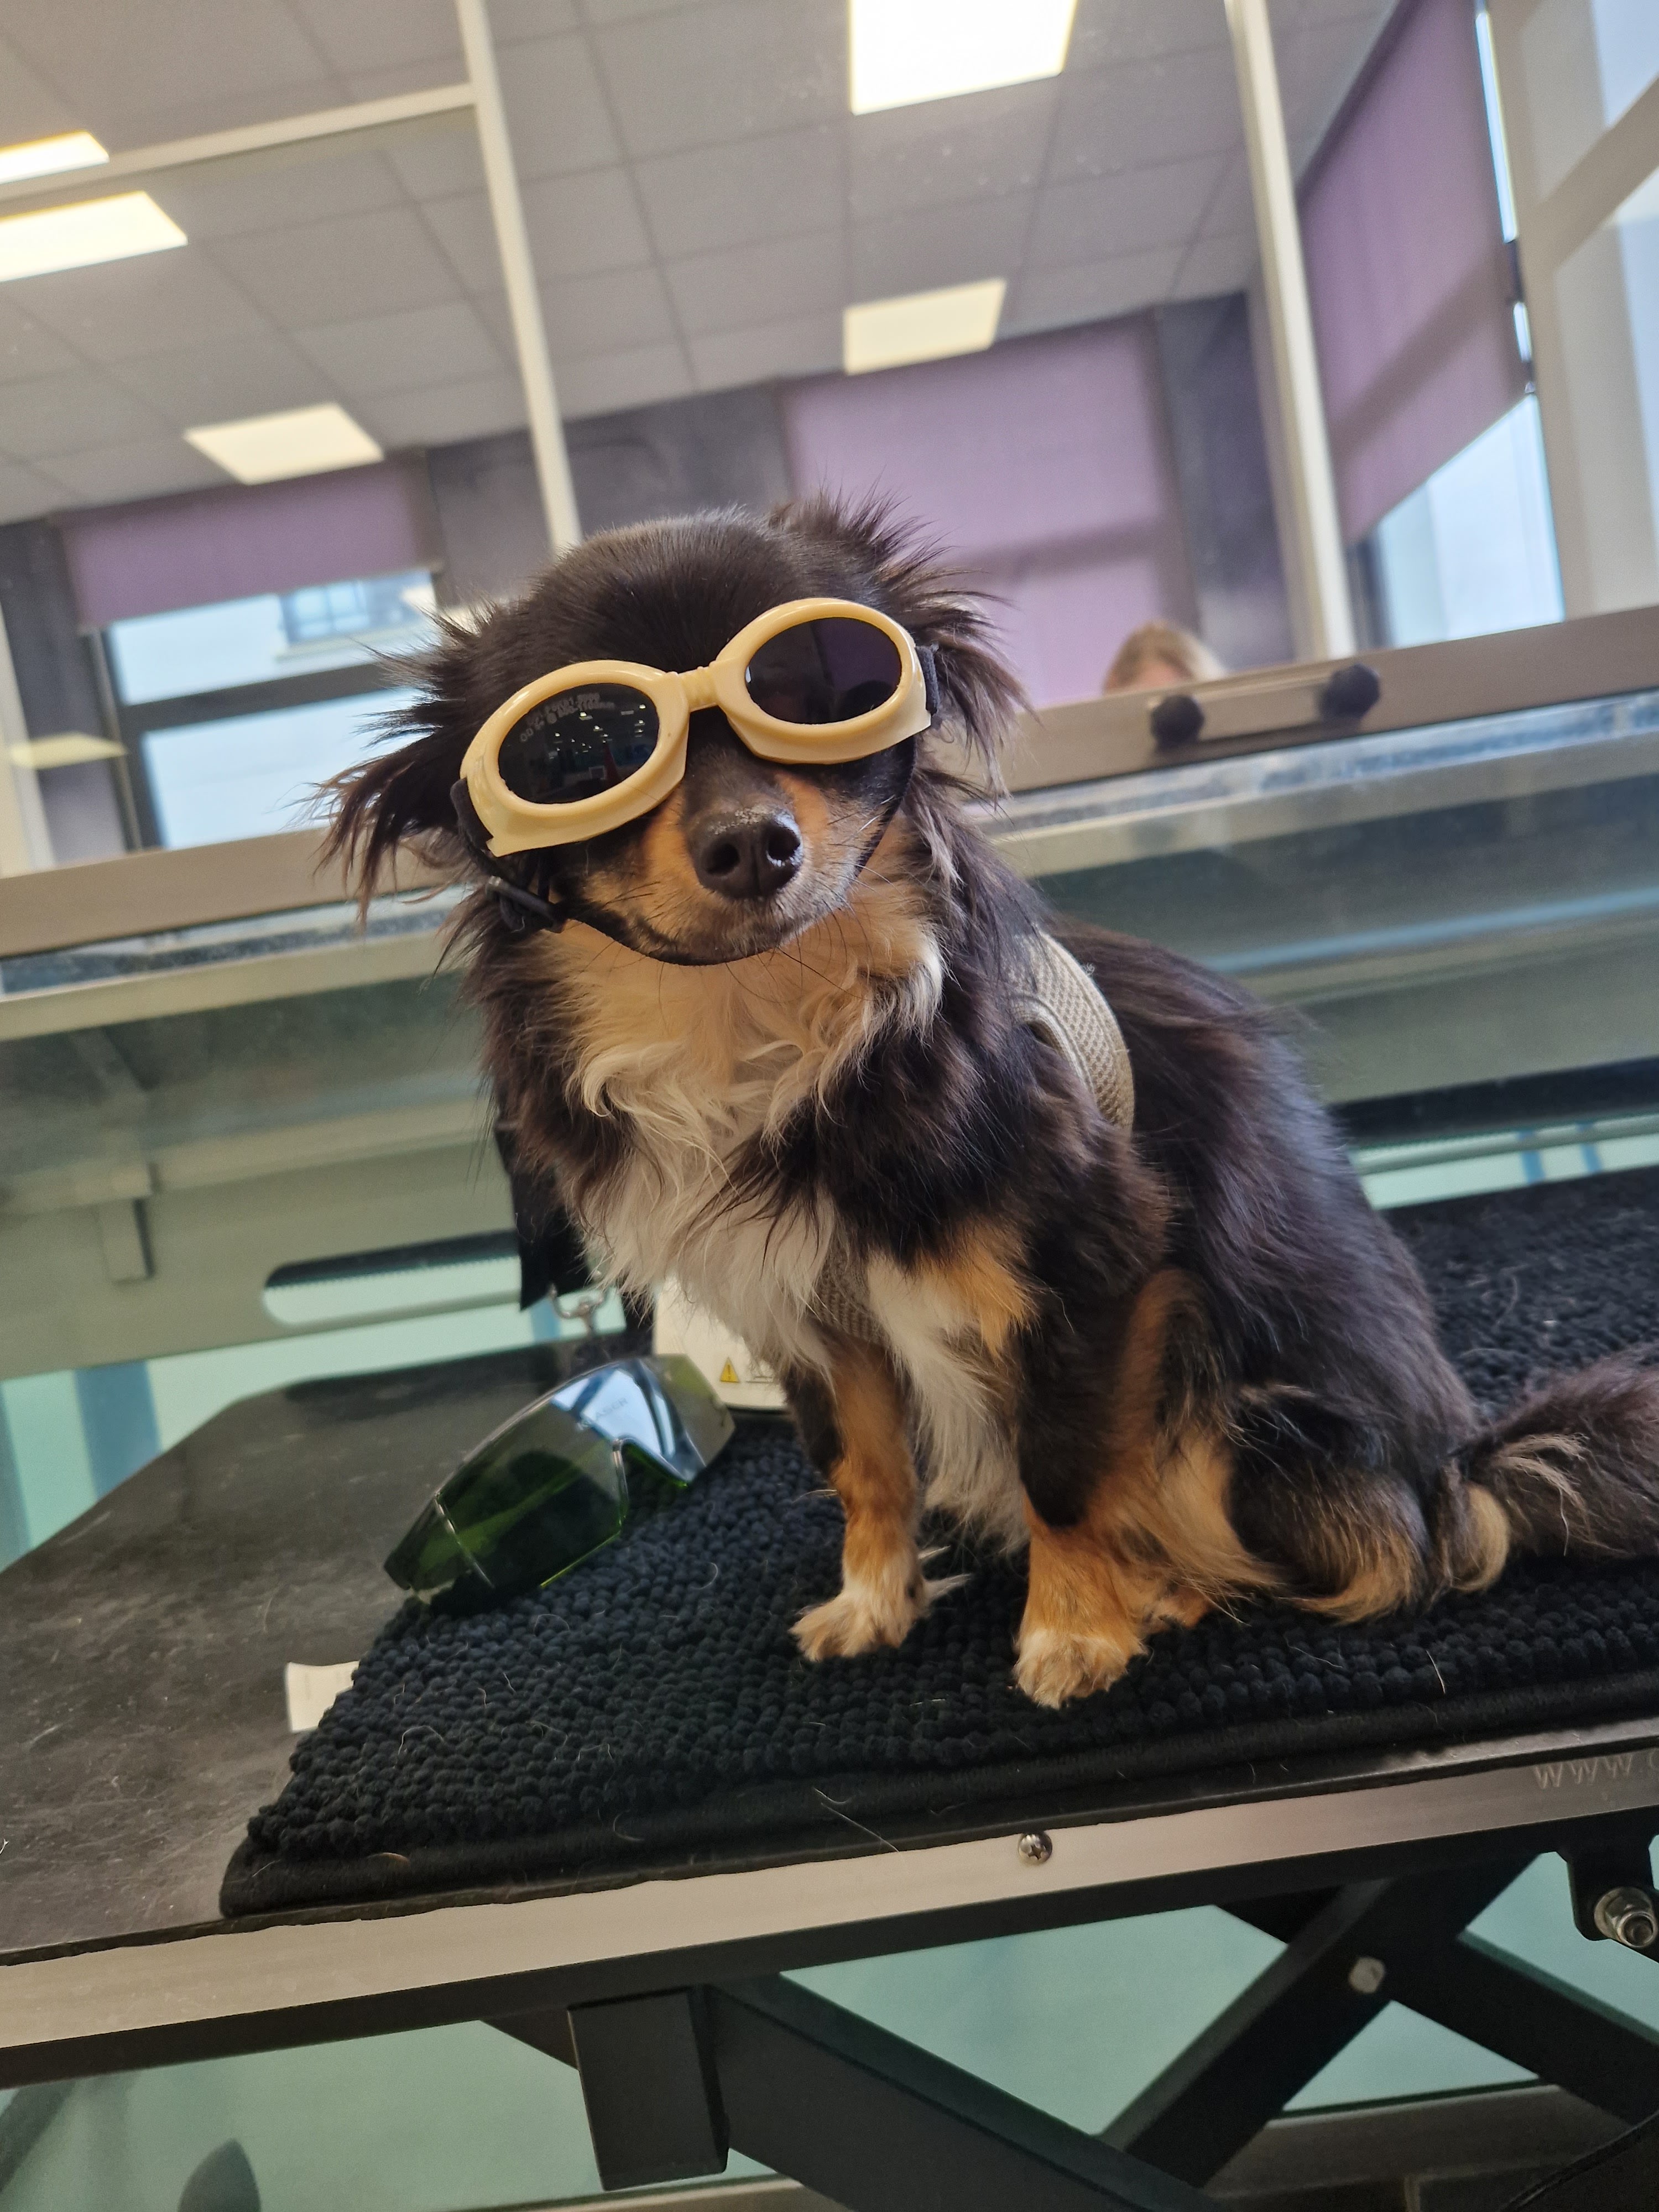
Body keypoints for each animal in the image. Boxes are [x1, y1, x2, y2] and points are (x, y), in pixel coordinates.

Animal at [329, 495, 1659, 1708]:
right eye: (579, 752)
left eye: (817, 689)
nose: (753, 841)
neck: (757, 1023)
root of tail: (1463, 1471)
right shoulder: (814, 1307)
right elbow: (864, 1469)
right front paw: (876, 1603)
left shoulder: (1098, 1272)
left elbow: (1061, 1465)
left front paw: (1076, 1631)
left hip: (1244, 1428)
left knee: (1371, 1560)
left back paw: (1174, 1587)